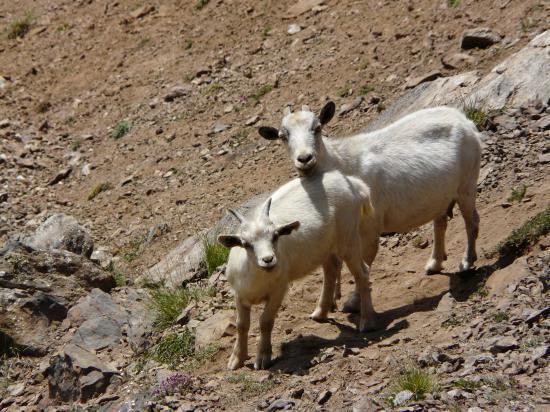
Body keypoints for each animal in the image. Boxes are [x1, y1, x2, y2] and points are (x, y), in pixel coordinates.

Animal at [219, 171, 376, 370]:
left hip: (348, 236)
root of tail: (352, 183)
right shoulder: (239, 294)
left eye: (275, 236)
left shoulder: (279, 290)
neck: (257, 279)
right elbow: (241, 325)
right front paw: (236, 359)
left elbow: (265, 321)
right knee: (331, 269)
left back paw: (367, 321)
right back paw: (320, 313)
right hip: (324, 247)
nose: (268, 260)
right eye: (246, 243)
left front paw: (263, 357)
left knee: (362, 272)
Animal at [260, 103, 480, 312]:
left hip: (467, 183)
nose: (305, 159)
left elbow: (366, 260)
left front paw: (353, 302)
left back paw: (467, 262)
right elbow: (332, 265)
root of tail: (464, 119)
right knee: (440, 222)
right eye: (283, 136)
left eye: (317, 127)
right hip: (440, 195)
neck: (342, 163)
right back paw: (435, 263)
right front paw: (331, 302)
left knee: (472, 221)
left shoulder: (370, 225)